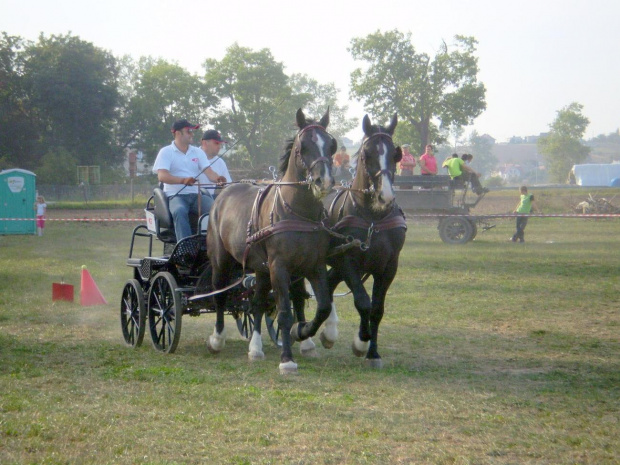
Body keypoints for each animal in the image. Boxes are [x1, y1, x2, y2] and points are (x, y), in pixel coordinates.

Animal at [206, 108, 336, 374]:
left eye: (331, 145)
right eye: (303, 147)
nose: (324, 181)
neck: (299, 213)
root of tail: (223, 192)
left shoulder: (313, 266)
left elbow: (322, 306)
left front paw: (303, 333)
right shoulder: (280, 266)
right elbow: (285, 311)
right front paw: (287, 359)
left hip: (261, 268)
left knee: (257, 302)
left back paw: (255, 348)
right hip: (221, 261)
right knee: (219, 294)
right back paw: (217, 339)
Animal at [320, 114, 406, 368]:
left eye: (395, 154)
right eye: (367, 154)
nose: (385, 196)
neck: (373, 219)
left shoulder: (388, 267)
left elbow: (376, 308)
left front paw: (373, 352)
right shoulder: (348, 261)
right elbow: (362, 301)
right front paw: (361, 341)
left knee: (328, 285)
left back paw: (328, 332)